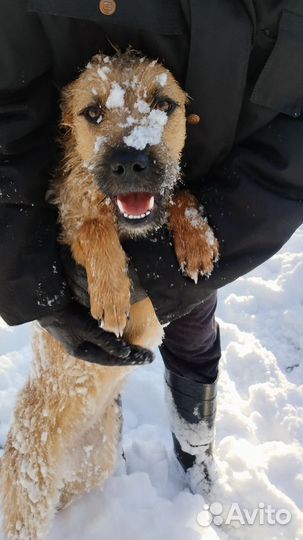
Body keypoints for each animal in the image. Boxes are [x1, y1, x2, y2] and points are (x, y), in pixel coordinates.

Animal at [0, 51, 218, 540]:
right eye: (93, 112)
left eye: (163, 104)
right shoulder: (69, 224)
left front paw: (196, 238)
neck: (131, 234)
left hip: (92, 465)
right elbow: (89, 226)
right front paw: (113, 291)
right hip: (29, 483)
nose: (130, 163)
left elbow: (178, 193)